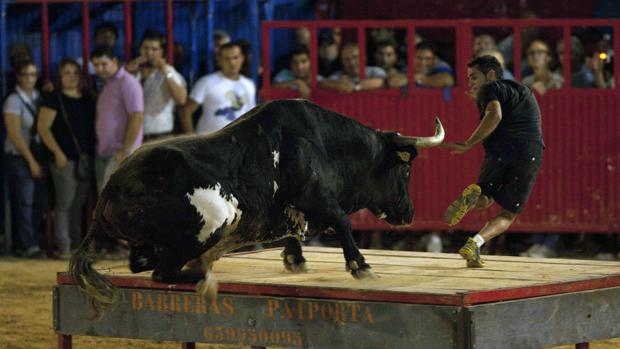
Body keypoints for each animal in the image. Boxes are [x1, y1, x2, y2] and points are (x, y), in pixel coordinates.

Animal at [70, 98, 444, 310]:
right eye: (406, 168)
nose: (409, 213)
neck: (325, 142)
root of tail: (108, 192)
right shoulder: (314, 196)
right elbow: (342, 222)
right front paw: (360, 266)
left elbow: (296, 227)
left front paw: (294, 258)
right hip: (213, 221)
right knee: (163, 271)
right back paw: (204, 275)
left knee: (143, 263)